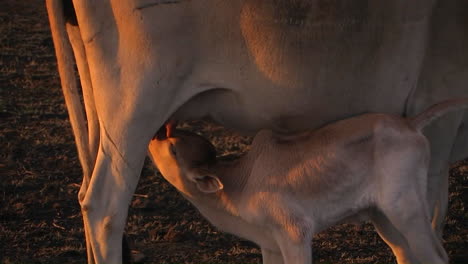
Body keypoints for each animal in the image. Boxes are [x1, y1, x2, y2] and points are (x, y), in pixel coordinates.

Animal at [147, 99, 468, 264]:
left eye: (173, 149)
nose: (156, 133)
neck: (237, 185)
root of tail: (408, 123)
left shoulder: (294, 232)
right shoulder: (270, 244)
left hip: (405, 207)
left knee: (436, 256)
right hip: (383, 215)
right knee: (406, 252)